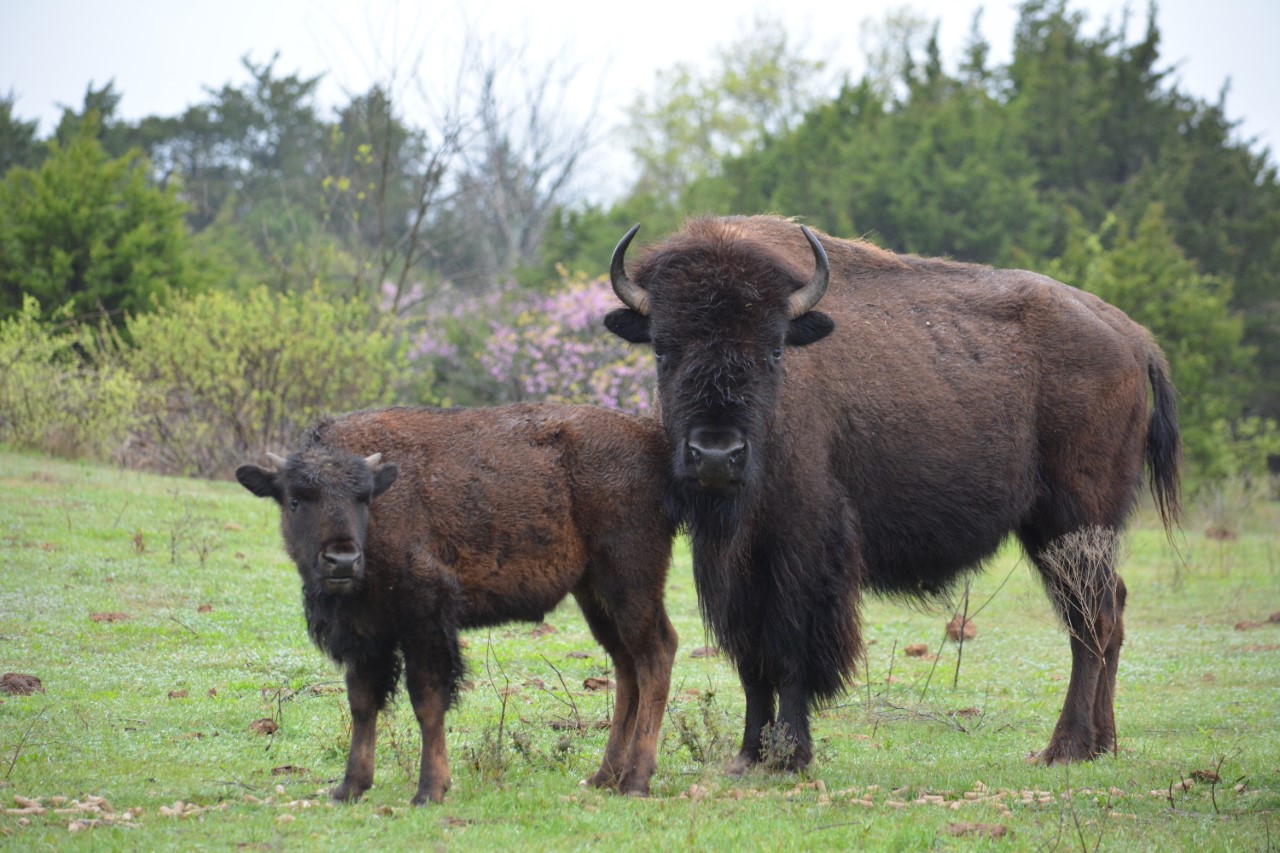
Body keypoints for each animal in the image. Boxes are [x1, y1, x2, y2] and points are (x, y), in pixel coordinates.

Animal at [240, 404, 680, 804]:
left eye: (362, 498)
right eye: (295, 500)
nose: (342, 560)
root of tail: (651, 438)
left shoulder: (426, 622)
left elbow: (427, 701)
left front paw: (430, 790)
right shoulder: (364, 633)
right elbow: (362, 703)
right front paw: (349, 788)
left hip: (629, 582)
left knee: (656, 653)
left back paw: (635, 781)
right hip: (595, 594)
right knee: (627, 666)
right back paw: (604, 777)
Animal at [604, 213, 1182, 768]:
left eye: (774, 349)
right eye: (662, 348)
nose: (716, 454)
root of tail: (1133, 338)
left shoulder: (805, 551)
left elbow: (791, 653)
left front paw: (790, 756)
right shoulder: (736, 565)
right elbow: (753, 662)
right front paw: (749, 755)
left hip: (1075, 520)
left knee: (1092, 621)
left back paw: (1065, 748)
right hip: (1058, 531)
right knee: (1110, 611)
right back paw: (1102, 744)